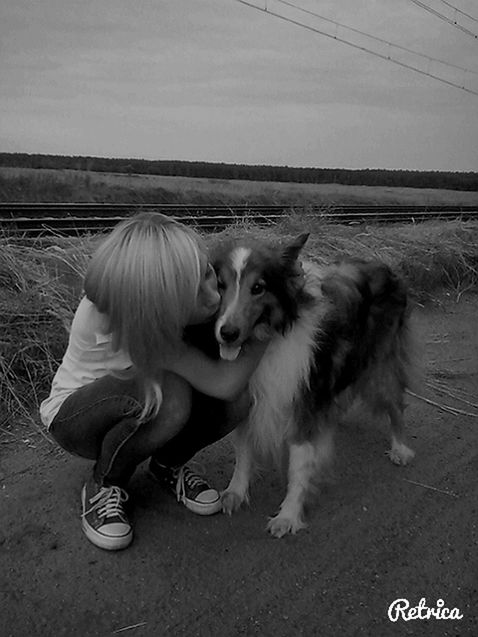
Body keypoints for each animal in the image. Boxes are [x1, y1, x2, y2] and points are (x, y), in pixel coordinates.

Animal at [209, 231, 414, 536]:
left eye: (258, 287)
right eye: (220, 285)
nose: (228, 333)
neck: (269, 340)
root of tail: (384, 265)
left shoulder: (302, 404)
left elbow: (298, 466)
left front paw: (288, 515)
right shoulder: (249, 403)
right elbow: (243, 450)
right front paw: (235, 492)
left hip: (379, 367)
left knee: (396, 404)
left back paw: (400, 448)